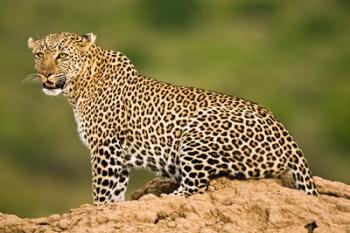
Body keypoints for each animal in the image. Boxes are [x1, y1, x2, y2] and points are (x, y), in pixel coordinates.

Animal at [26, 31, 318, 204]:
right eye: (40, 55)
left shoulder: (105, 146)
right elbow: (115, 192)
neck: (80, 86)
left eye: (62, 55)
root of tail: (289, 138)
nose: (46, 74)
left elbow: (101, 190)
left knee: (195, 185)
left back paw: (159, 200)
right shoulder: (118, 154)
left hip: (199, 131)